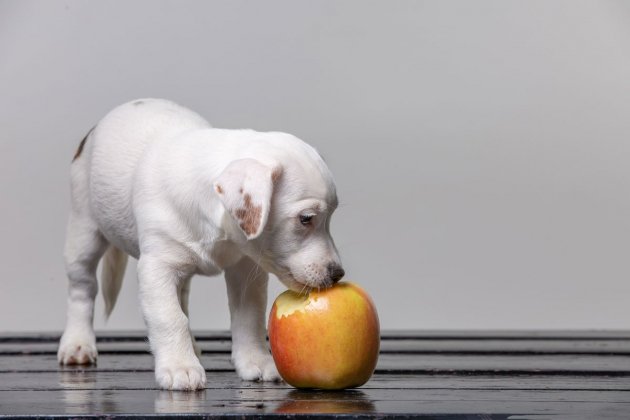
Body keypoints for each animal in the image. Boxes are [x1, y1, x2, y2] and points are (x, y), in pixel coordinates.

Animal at [57, 97, 346, 390]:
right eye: (306, 218)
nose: (338, 274)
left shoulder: (245, 270)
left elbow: (249, 317)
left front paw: (255, 361)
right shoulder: (157, 269)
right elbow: (169, 317)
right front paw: (180, 367)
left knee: (182, 297)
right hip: (84, 233)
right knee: (82, 289)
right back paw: (77, 344)